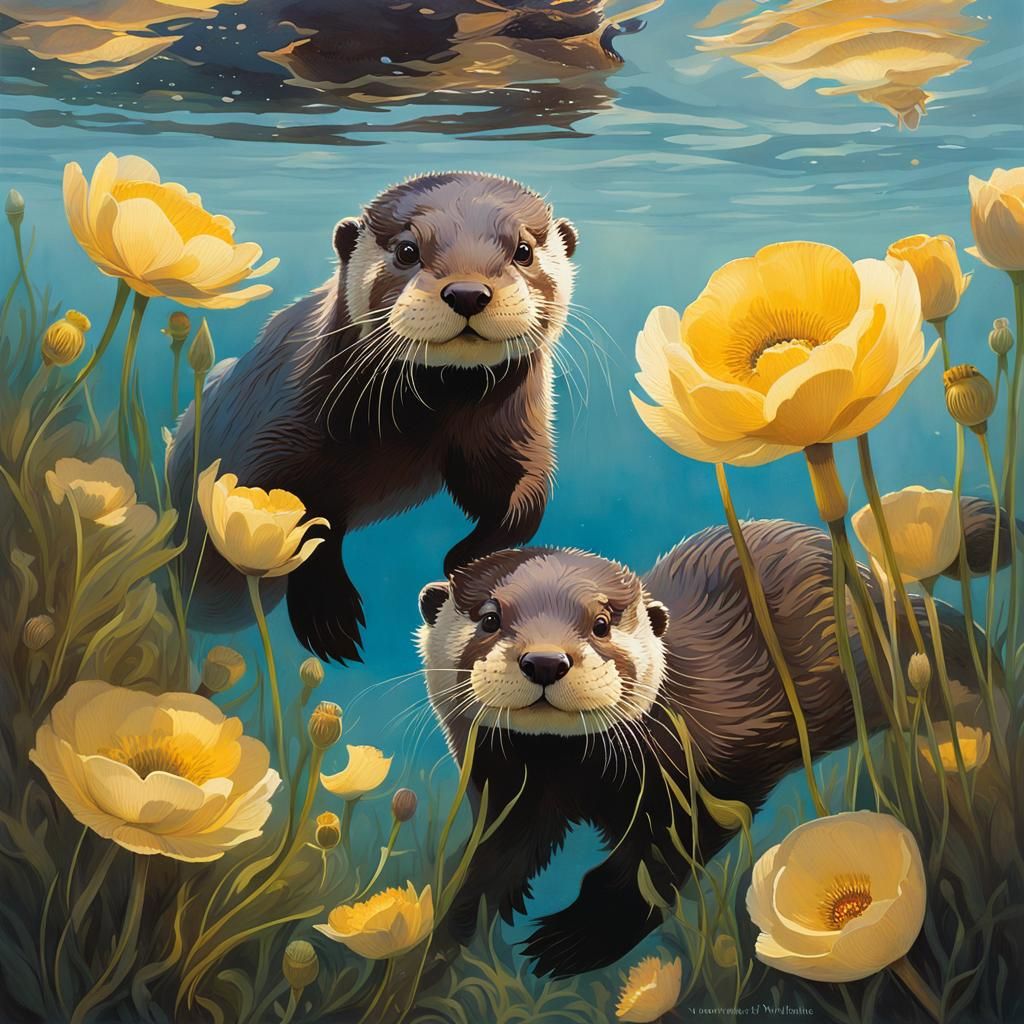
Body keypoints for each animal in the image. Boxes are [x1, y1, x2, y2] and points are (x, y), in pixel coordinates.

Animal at [168, 173, 578, 663]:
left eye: (524, 250)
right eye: (407, 250)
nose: (467, 292)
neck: (415, 423)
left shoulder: (509, 430)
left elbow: (525, 498)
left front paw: (464, 562)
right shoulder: (271, 435)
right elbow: (293, 507)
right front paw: (328, 611)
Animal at [417, 499, 1012, 978]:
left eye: (602, 623)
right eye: (489, 618)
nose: (544, 660)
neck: (575, 774)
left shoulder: (712, 776)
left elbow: (652, 865)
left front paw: (578, 937)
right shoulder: (509, 791)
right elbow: (491, 861)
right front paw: (443, 935)